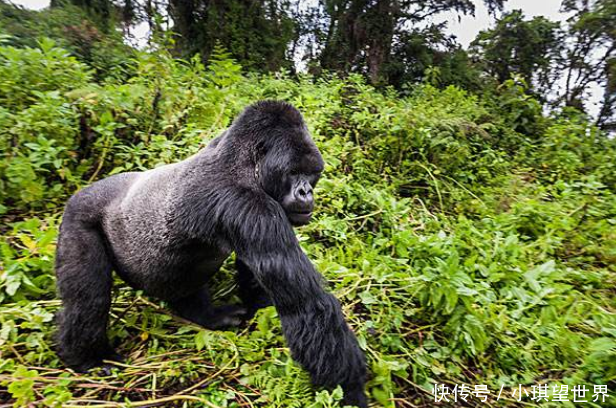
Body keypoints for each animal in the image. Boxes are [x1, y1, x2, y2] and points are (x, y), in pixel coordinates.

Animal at [54, 100, 366, 406]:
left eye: (311, 173)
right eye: (293, 172)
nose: (305, 193)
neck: (242, 161)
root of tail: (81, 191)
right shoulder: (249, 204)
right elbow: (307, 305)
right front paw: (351, 390)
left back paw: (207, 315)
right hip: (78, 216)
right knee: (89, 300)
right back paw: (86, 357)